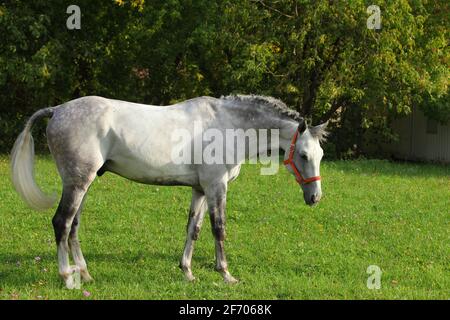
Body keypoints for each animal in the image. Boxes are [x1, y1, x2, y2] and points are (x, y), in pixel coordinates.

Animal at [10, 94, 326, 288]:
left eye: (320, 155)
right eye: (303, 155)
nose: (315, 198)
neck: (228, 126)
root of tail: (57, 110)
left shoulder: (200, 189)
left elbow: (193, 229)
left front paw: (187, 272)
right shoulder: (216, 186)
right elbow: (219, 228)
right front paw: (226, 274)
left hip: (83, 184)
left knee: (73, 225)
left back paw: (85, 274)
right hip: (77, 183)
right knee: (62, 223)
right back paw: (67, 277)